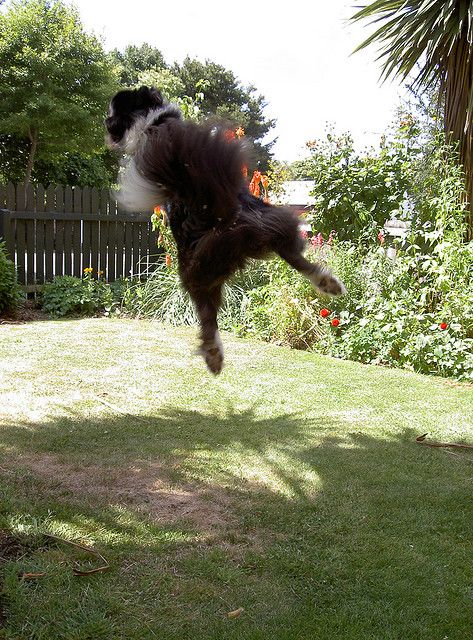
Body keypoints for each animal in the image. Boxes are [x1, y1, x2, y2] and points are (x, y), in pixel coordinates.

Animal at [106, 86, 342, 376]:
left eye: (114, 112)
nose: (106, 123)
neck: (155, 121)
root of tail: (227, 216)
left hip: (194, 269)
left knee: (206, 316)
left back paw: (213, 355)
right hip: (272, 225)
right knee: (294, 256)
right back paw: (327, 282)